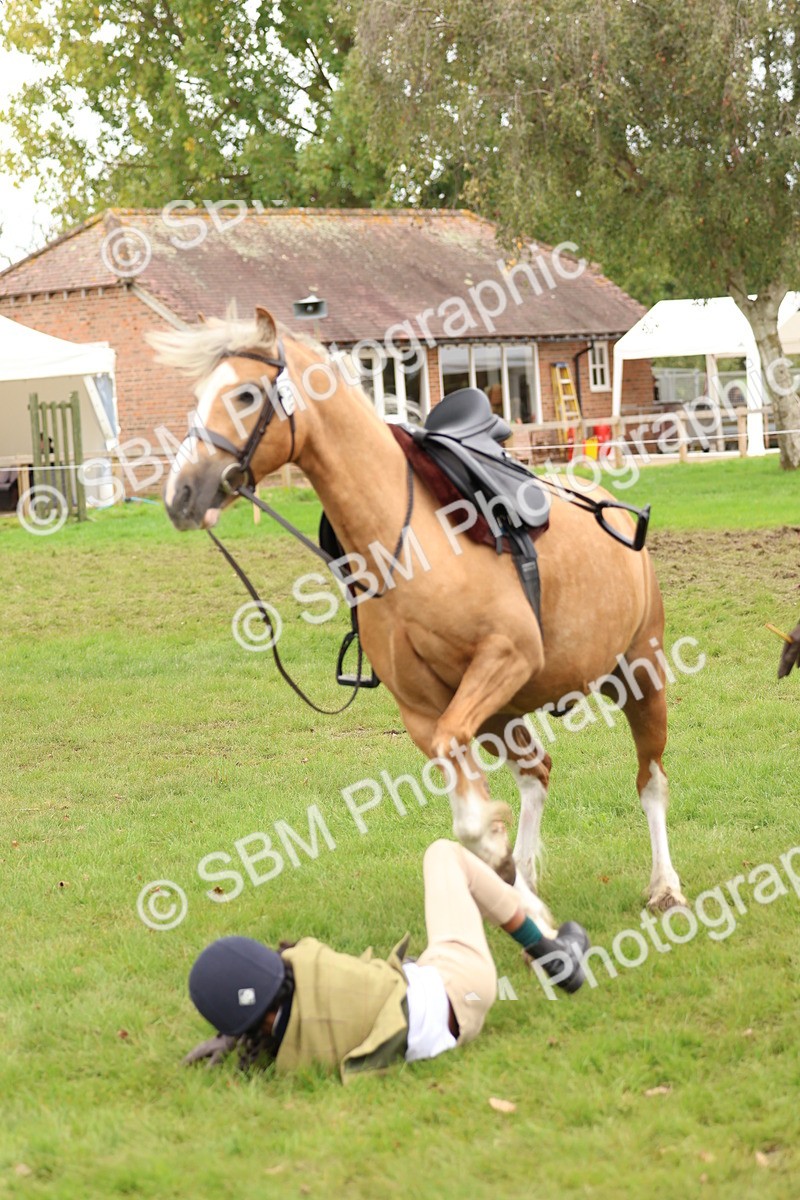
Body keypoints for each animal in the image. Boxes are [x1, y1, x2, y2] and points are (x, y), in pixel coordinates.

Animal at [148, 306, 687, 935]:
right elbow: (468, 803)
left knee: (651, 781)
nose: (182, 494)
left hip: (640, 675)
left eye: (246, 394)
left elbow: (474, 812)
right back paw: (528, 882)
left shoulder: (505, 658)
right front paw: (516, 887)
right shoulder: (425, 711)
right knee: (537, 773)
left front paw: (502, 861)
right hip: (503, 712)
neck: (407, 542)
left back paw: (665, 887)